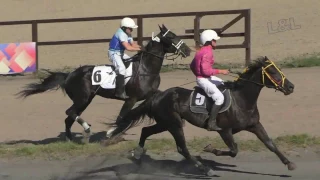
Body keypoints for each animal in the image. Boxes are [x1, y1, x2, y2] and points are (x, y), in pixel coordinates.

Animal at [16, 24, 191, 143]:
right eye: (171, 36)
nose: (188, 50)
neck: (146, 69)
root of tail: (70, 74)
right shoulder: (131, 99)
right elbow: (121, 117)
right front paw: (110, 133)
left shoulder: (149, 96)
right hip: (82, 99)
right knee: (69, 112)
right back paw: (86, 129)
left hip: (86, 100)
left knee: (69, 117)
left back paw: (70, 139)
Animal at [114, 56, 296, 177]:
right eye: (272, 71)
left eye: (279, 69)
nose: (291, 87)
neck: (241, 100)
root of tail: (158, 95)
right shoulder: (224, 130)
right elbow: (233, 150)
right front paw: (210, 149)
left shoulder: (254, 125)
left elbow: (270, 144)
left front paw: (289, 163)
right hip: (174, 124)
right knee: (182, 148)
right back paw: (204, 168)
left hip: (165, 123)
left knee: (146, 130)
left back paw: (138, 154)